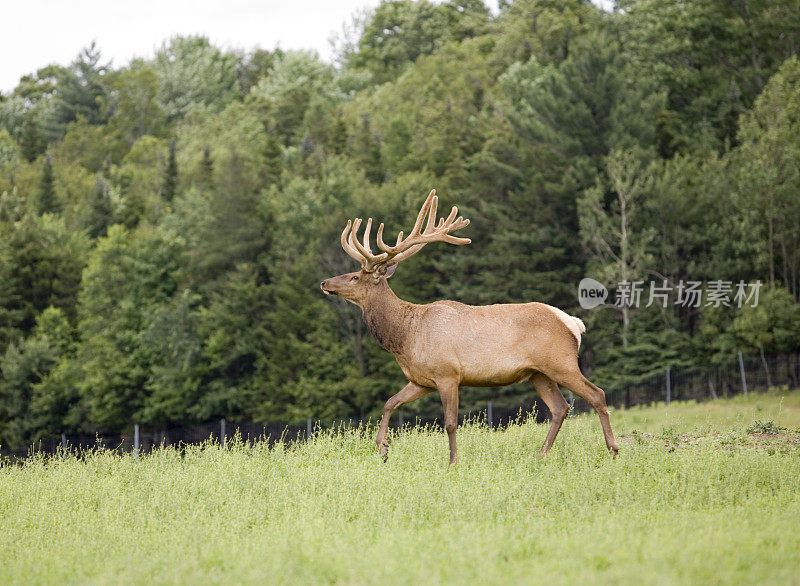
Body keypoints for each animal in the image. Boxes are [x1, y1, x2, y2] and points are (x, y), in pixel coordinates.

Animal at [322, 189, 620, 464]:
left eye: (355, 276)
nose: (325, 282)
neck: (405, 336)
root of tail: (574, 324)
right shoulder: (421, 380)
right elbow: (389, 403)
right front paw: (382, 448)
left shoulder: (448, 373)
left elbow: (450, 423)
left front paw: (453, 463)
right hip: (538, 372)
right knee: (560, 407)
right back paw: (540, 455)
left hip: (561, 362)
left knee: (597, 394)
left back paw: (613, 450)